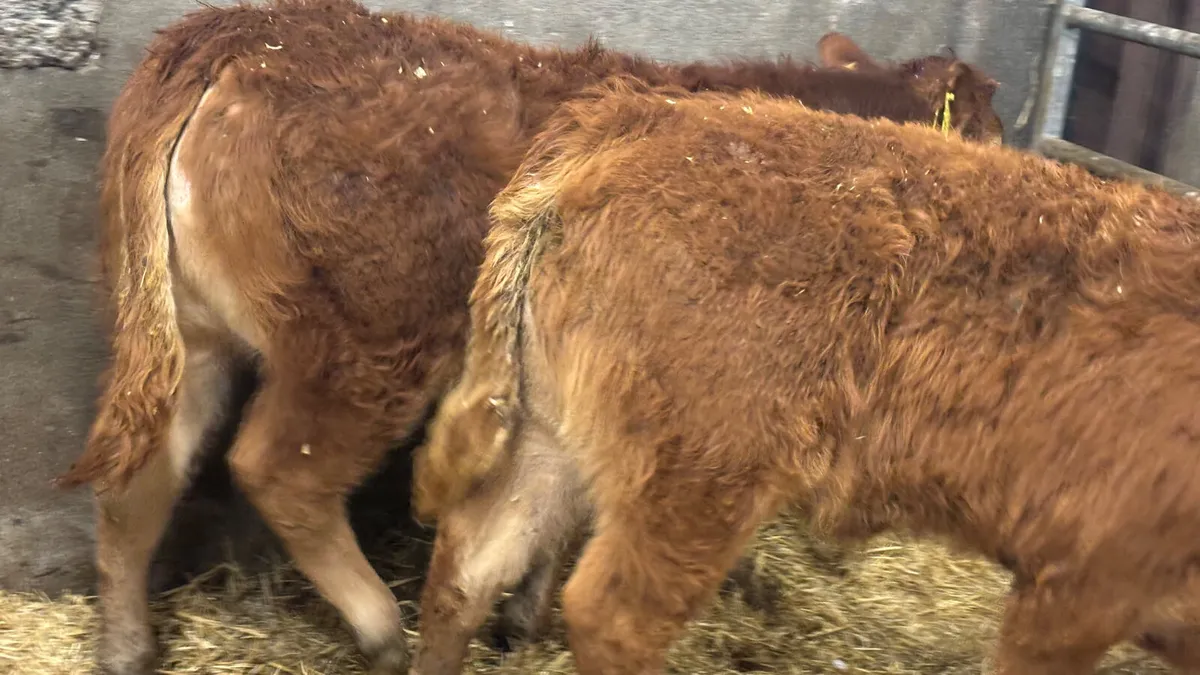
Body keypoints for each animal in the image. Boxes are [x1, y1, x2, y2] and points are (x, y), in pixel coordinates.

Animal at [52, 0, 1005, 672]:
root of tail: (234, 32)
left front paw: (520, 614)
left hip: (189, 336)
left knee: (142, 477)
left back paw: (127, 646)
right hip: (366, 343)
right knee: (280, 470)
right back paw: (380, 628)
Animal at [410, 75, 1200, 675]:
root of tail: (633, 113)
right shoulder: (1084, 578)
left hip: (551, 434)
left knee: (469, 569)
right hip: (698, 477)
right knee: (611, 615)